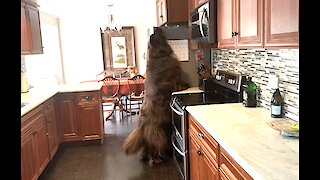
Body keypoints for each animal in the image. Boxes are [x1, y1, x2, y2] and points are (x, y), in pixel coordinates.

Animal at [121, 27, 189, 164]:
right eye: (158, 34)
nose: (157, 28)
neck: (157, 55)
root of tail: (141, 125)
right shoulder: (174, 79)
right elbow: (179, 83)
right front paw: (186, 85)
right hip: (158, 133)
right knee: (153, 147)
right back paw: (157, 159)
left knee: (146, 147)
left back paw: (146, 157)